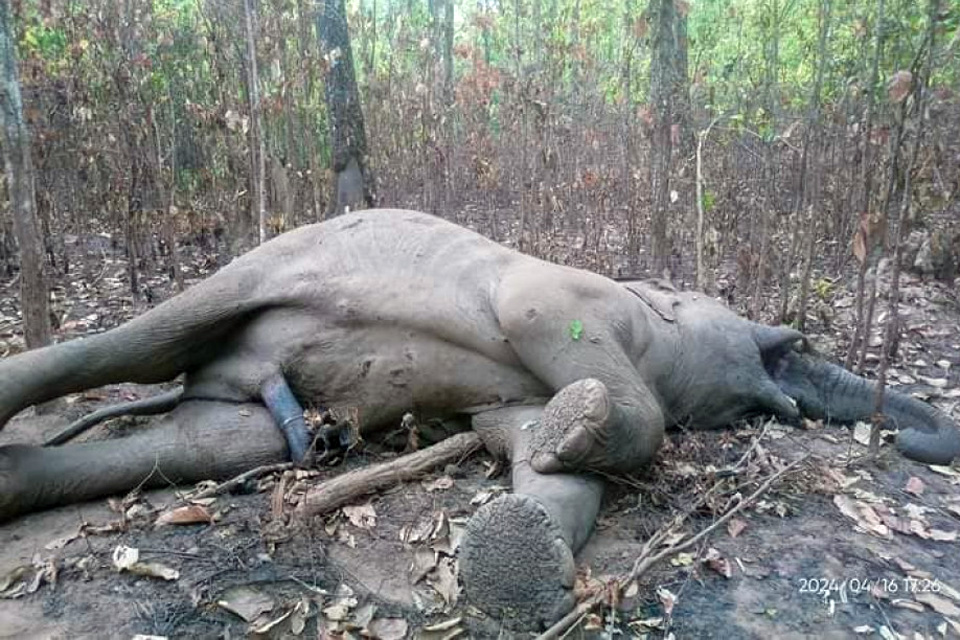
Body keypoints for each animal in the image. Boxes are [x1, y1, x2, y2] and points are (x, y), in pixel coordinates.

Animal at [0, 209, 957, 629]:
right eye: (771, 353)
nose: (905, 436)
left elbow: (539, 456)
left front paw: (516, 556)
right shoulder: (567, 295)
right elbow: (582, 358)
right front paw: (584, 422)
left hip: (238, 412)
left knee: (197, 444)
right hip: (253, 273)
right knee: (136, 344)